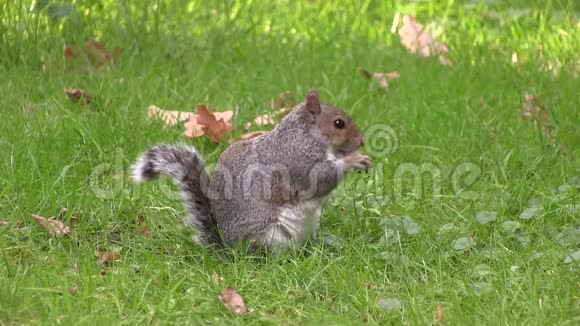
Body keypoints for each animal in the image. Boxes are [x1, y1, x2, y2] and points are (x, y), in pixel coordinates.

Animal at [132, 90, 370, 253]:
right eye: (339, 123)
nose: (362, 141)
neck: (305, 134)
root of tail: (228, 248)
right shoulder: (296, 160)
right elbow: (320, 179)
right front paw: (352, 160)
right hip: (270, 236)